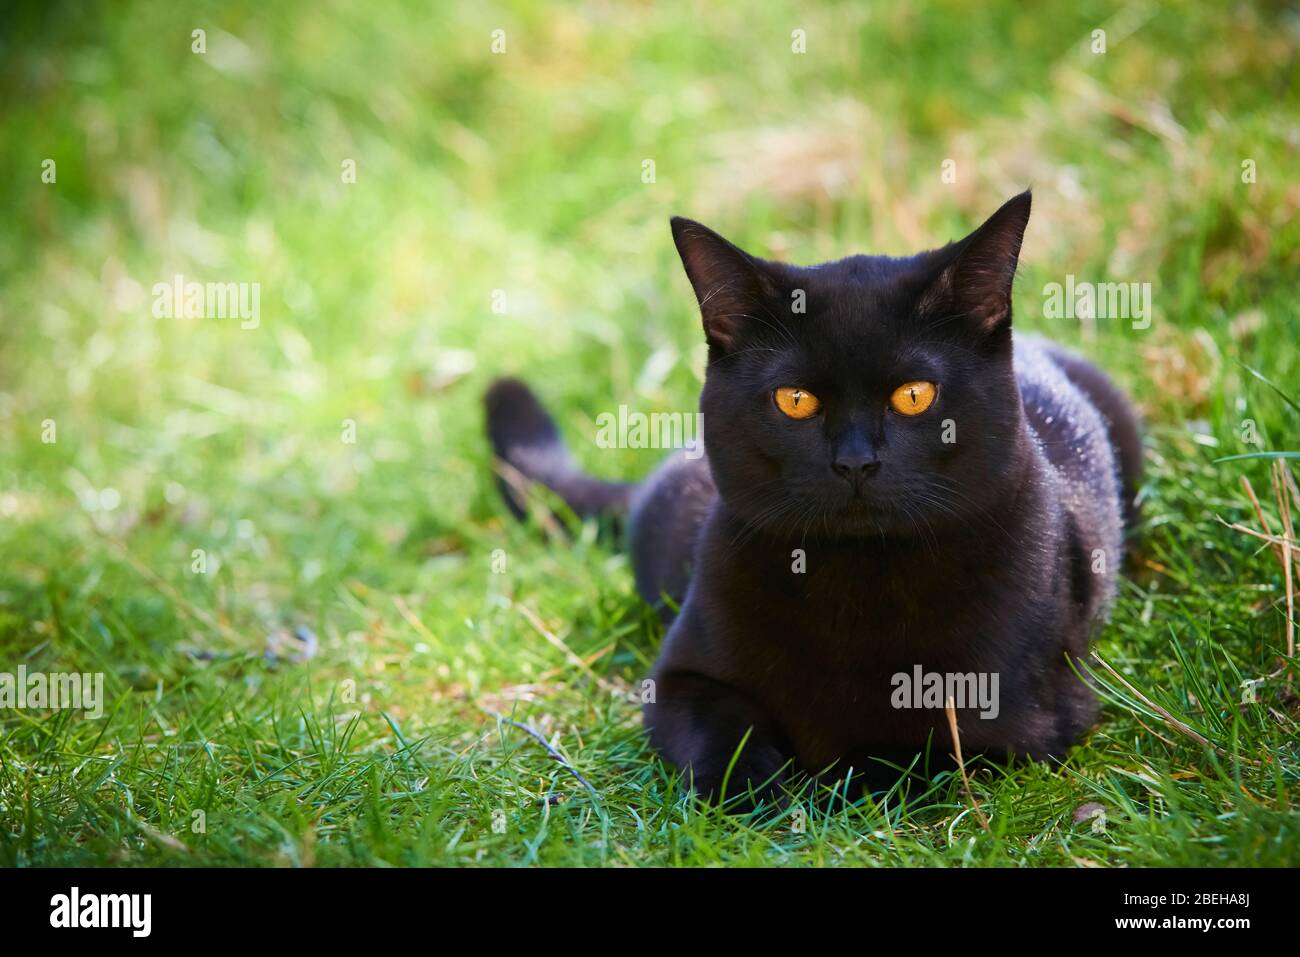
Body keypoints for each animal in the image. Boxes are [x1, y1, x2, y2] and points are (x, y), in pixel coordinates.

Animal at [488, 195, 1138, 806]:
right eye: (795, 400)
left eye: (914, 395)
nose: (854, 462)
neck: (857, 578)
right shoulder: (680, 681)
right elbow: (725, 739)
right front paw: (761, 798)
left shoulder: (1021, 723)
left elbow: (894, 756)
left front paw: (822, 787)